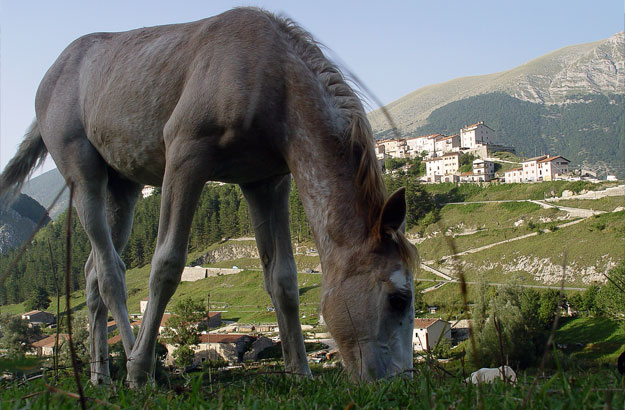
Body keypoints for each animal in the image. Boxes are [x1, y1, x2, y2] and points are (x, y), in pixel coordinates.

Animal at [2, 7, 416, 388]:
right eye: (398, 298)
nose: (399, 381)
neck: (268, 72)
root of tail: (52, 74)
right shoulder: (186, 156)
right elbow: (166, 265)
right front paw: (139, 370)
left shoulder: (267, 182)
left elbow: (283, 279)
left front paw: (299, 371)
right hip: (83, 174)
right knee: (110, 274)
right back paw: (137, 365)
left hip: (123, 187)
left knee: (91, 274)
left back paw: (100, 376)